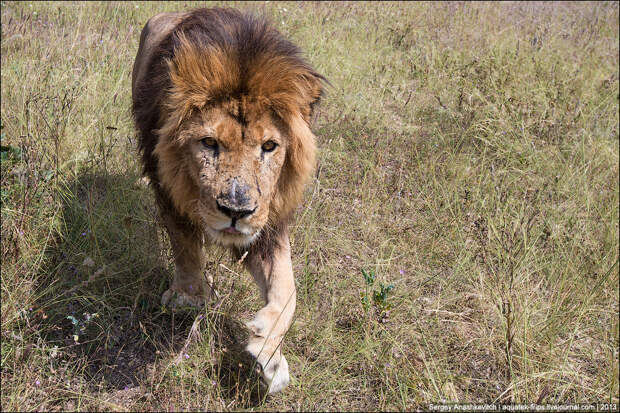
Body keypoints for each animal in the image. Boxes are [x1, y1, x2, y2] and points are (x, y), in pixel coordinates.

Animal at [130, 8, 324, 392]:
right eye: (209, 143)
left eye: (269, 146)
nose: (236, 211)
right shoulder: (171, 192)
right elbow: (185, 245)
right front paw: (189, 298)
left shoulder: (266, 224)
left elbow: (288, 290)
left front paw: (268, 352)